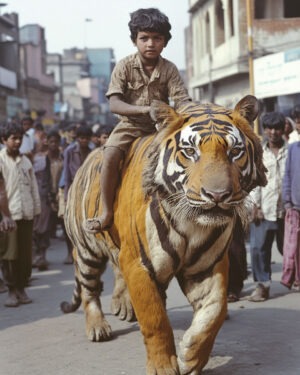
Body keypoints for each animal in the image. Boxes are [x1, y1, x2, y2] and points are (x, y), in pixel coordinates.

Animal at [61, 95, 268, 374]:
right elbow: (155, 319)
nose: (217, 195)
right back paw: (97, 327)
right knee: (88, 289)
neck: (192, 223)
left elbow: (214, 312)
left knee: (116, 271)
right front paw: (164, 367)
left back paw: (123, 306)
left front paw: (191, 356)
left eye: (235, 152)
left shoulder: (207, 266)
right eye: (190, 152)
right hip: (86, 250)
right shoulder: (140, 264)